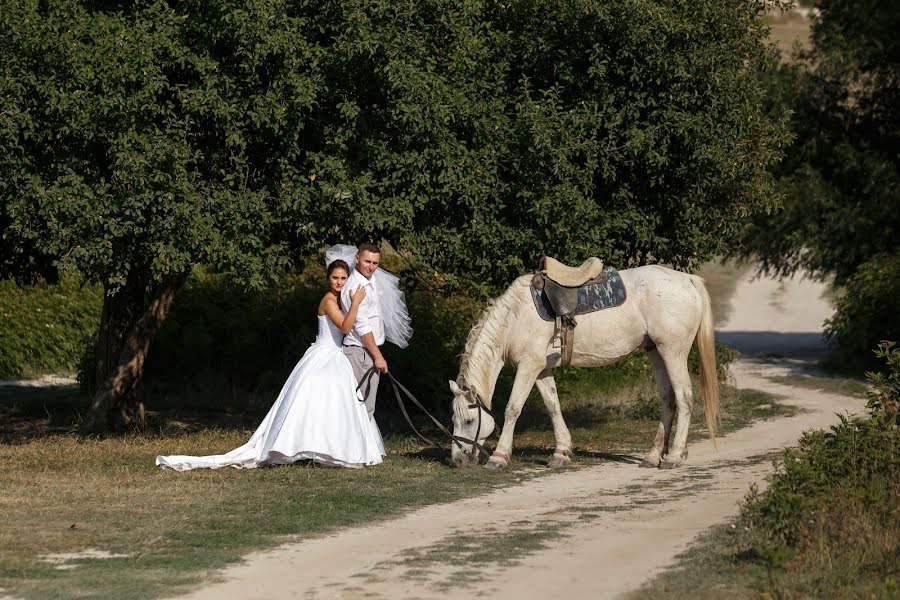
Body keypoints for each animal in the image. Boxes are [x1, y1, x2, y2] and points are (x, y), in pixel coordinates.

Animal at [454, 266, 720, 468]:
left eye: (468, 421)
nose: (458, 460)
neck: (515, 317)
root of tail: (688, 280)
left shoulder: (528, 366)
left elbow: (513, 409)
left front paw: (499, 457)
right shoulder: (542, 369)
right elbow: (553, 406)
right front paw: (561, 453)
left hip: (673, 352)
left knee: (684, 398)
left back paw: (674, 456)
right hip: (655, 352)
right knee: (668, 401)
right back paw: (654, 456)